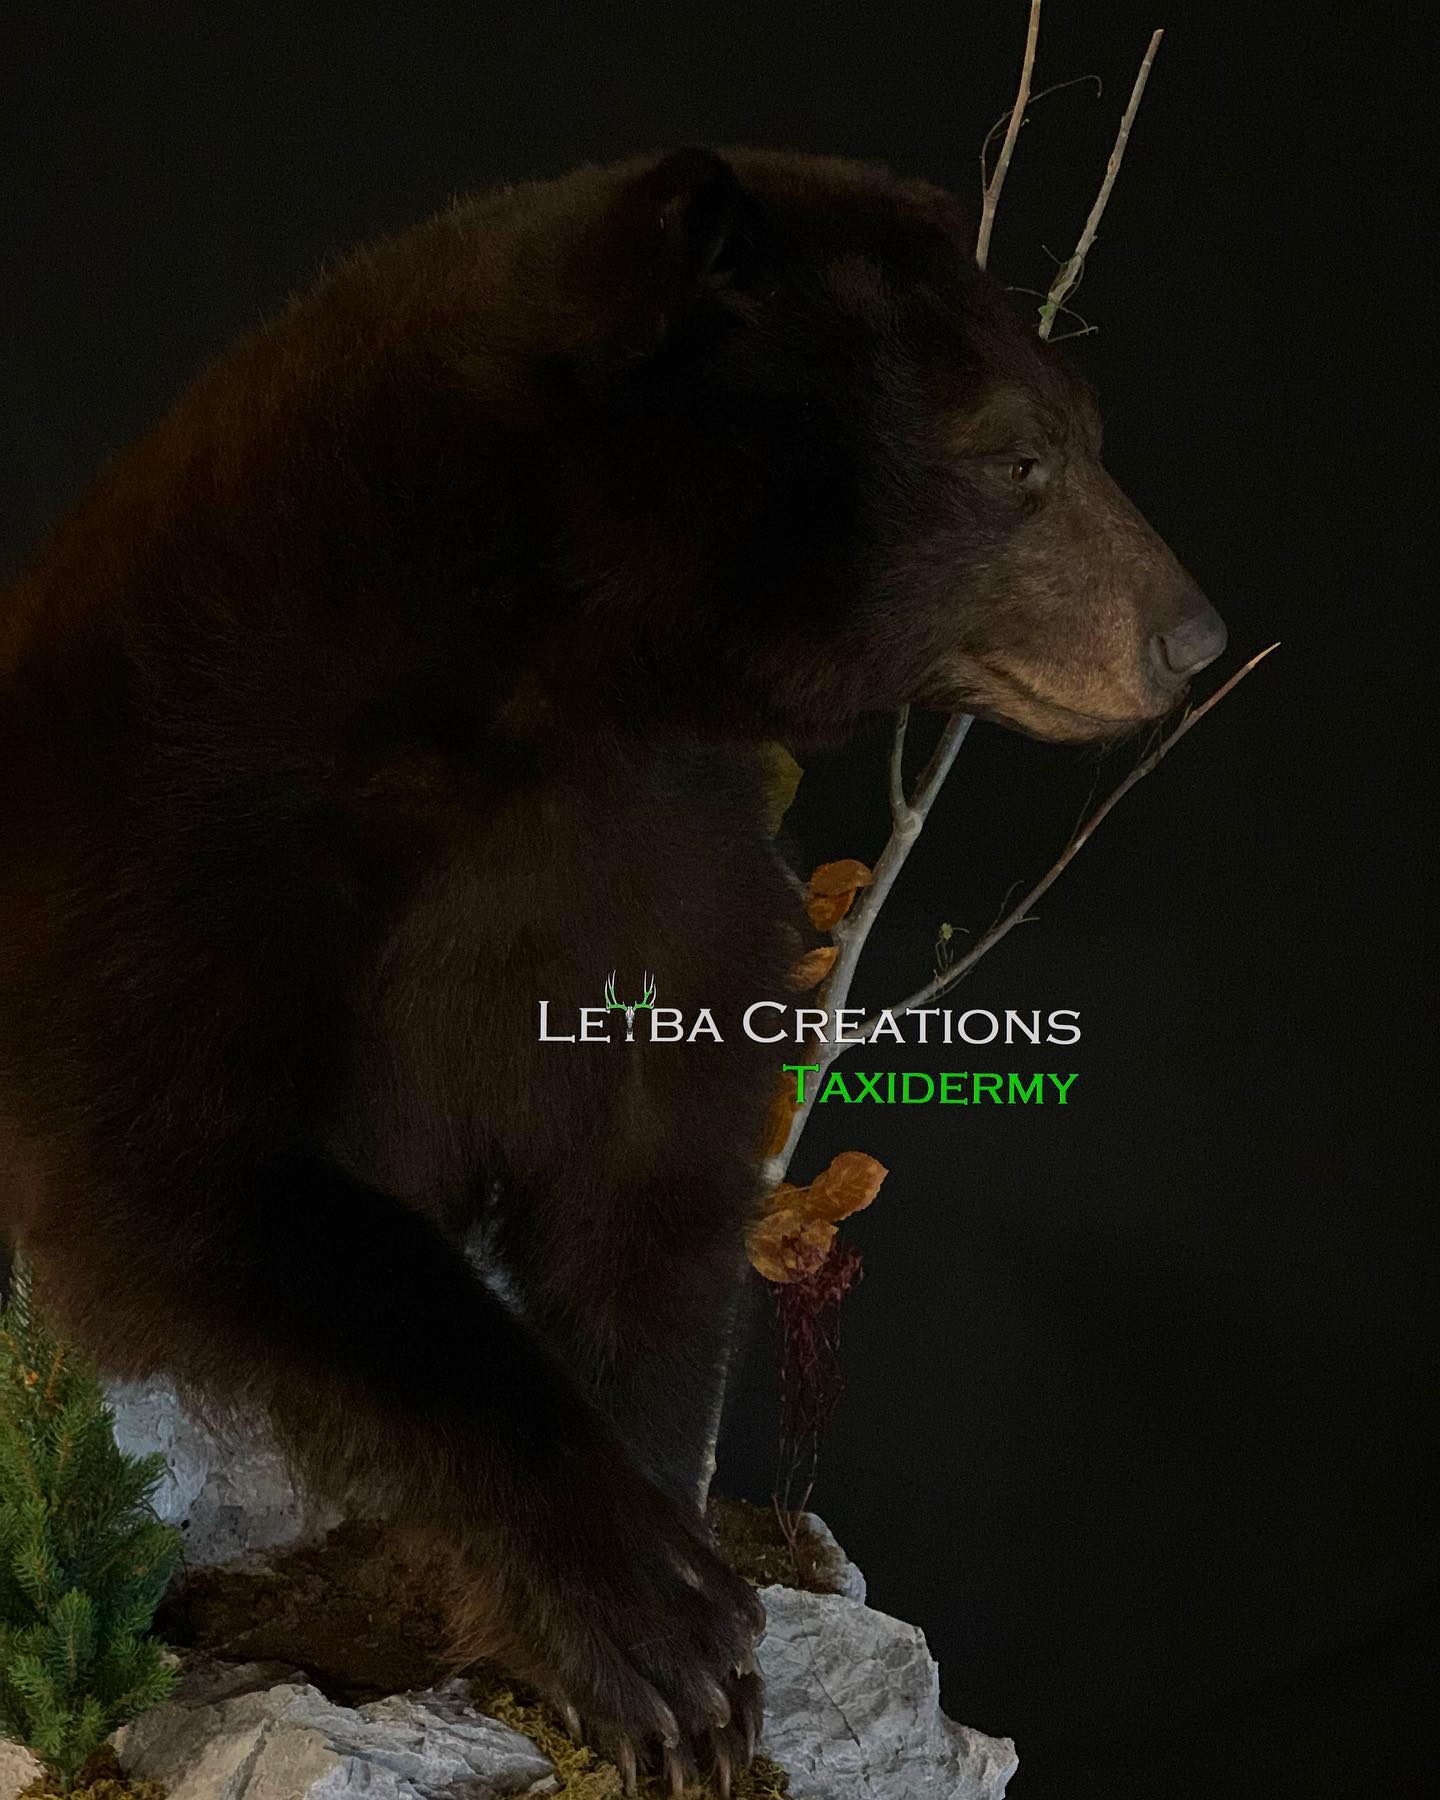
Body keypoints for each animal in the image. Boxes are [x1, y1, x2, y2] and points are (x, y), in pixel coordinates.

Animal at [0, 147, 1225, 1790]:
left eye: (1081, 433)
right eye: (1018, 457)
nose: (1192, 639)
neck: (535, 681)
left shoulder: (657, 852)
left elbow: (647, 1182)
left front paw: (672, 1655)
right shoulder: (180, 840)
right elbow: (203, 1174)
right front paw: (653, 1634)